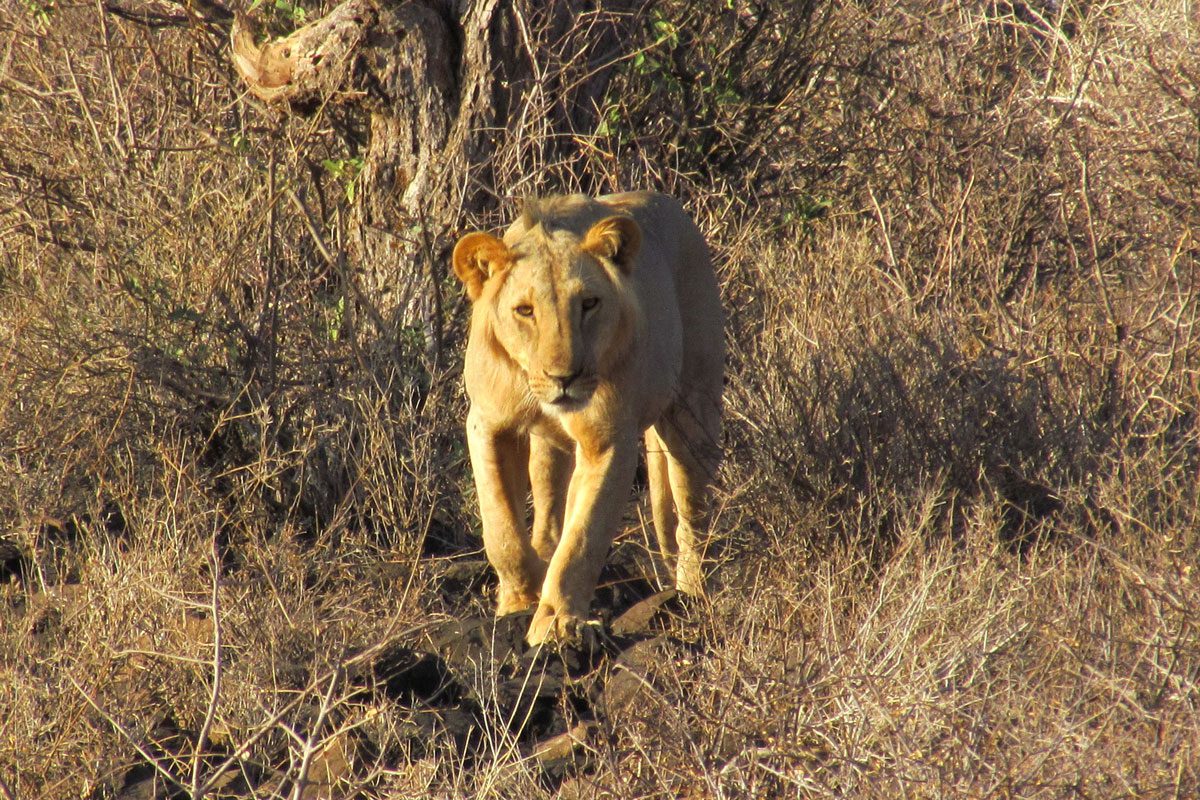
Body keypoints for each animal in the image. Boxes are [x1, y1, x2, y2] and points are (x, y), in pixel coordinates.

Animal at [451, 191, 720, 642]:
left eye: (589, 304)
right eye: (525, 311)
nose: (564, 377)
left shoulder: (607, 439)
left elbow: (583, 537)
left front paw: (558, 623)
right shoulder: (488, 424)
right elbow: (502, 530)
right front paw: (520, 600)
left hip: (693, 414)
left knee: (692, 514)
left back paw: (692, 594)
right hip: (550, 446)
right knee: (547, 512)